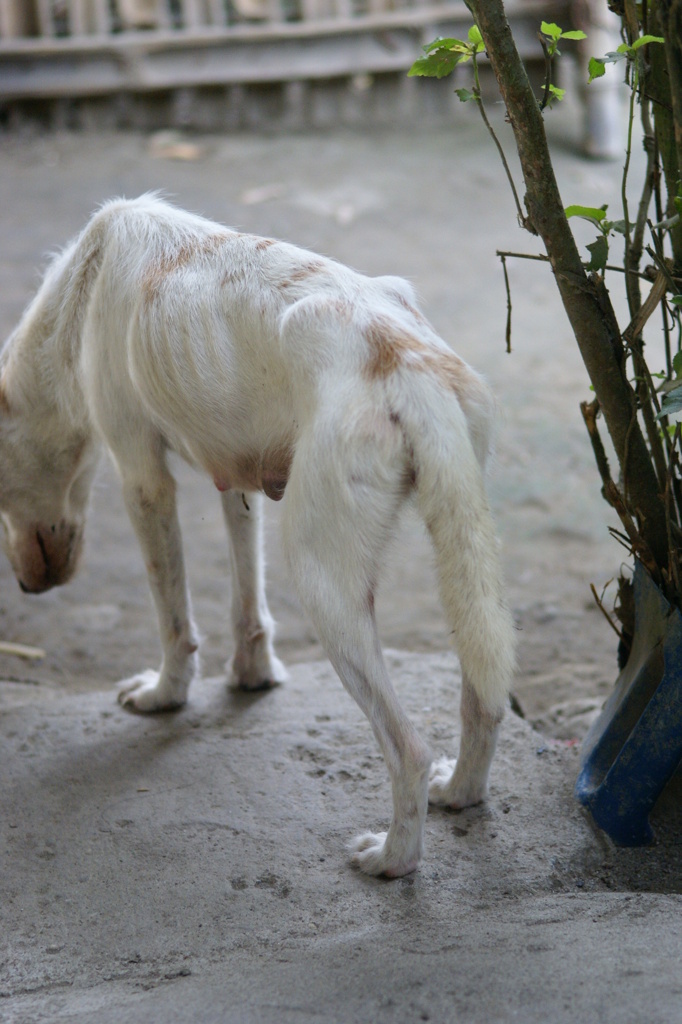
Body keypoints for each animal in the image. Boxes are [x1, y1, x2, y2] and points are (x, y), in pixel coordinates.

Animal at [0, 195, 509, 876]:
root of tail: (406, 366)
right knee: (484, 699)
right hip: (465, 562)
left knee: (409, 749)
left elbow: (174, 620)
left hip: (322, 583)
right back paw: (459, 792)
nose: (28, 589)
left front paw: (166, 694)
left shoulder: (142, 477)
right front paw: (252, 674)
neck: (85, 280)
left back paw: (392, 859)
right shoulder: (239, 479)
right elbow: (247, 597)